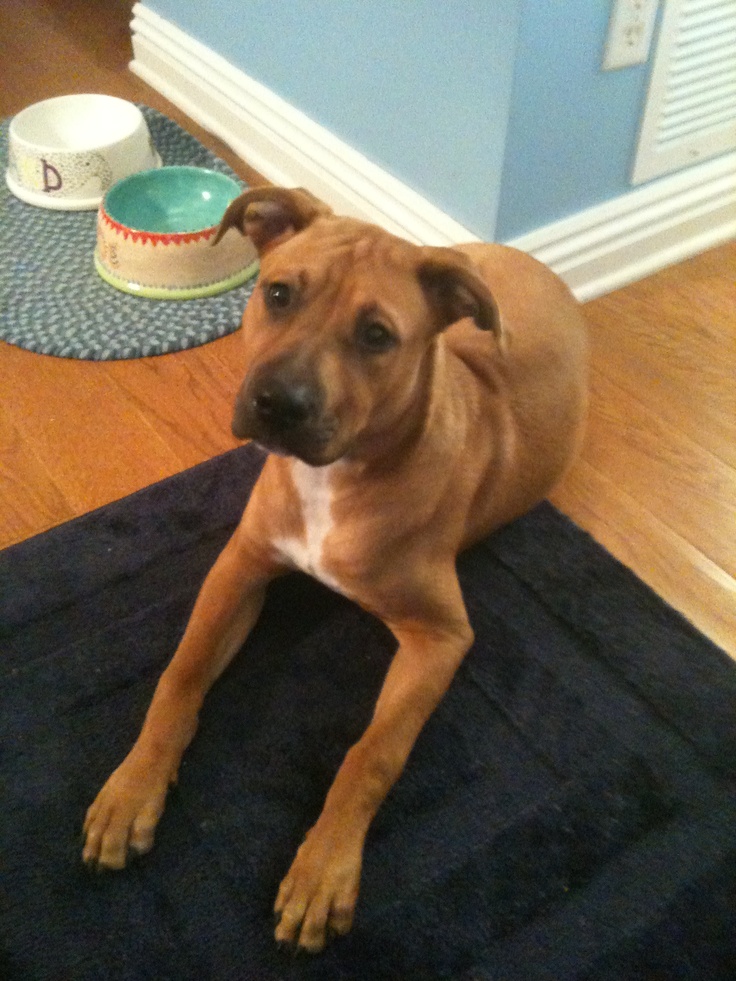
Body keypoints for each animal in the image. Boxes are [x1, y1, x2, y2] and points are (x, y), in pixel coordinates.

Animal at [82, 184, 588, 948]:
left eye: (377, 336)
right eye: (278, 293)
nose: (277, 405)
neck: (340, 472)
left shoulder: (441, 635)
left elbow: (372, 753)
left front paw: (324, 868)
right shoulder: (240, 565)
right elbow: (180, 674)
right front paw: (132, 786)